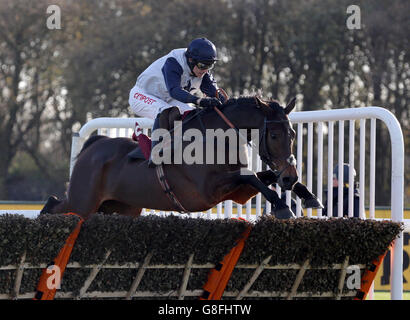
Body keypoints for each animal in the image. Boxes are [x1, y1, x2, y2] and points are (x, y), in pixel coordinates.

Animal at [41, 95, 310, 220]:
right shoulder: (207, 191)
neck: (215, 139)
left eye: (293, 134)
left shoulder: (237, 192)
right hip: (82, 203)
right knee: (55, 206)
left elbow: (261, 176)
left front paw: (307, 195)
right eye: (274, 135)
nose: (290, 177)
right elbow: (253, 176)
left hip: (120, 207)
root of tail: (94, 145)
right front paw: (283, 207)